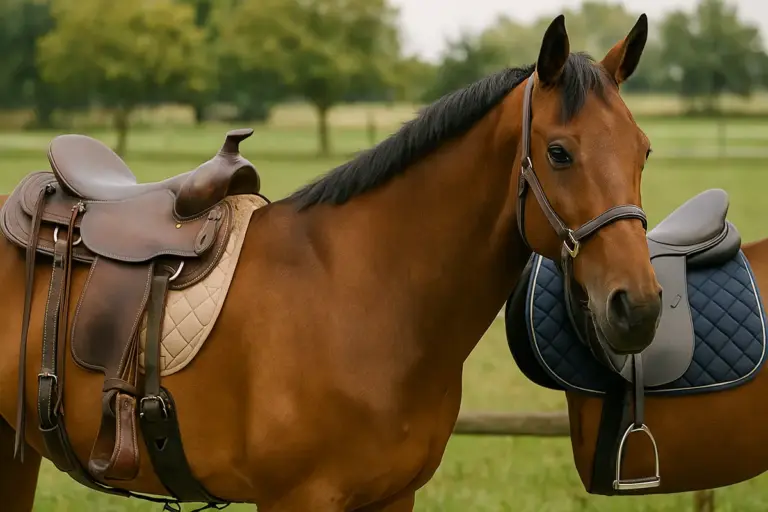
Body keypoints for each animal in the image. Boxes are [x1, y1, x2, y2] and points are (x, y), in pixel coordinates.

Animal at [0, 14, 657, 511]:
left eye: (643, 150)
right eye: (559, 152)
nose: (639, 306)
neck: (360, 291)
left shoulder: (392, 498)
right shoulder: (298, 500)